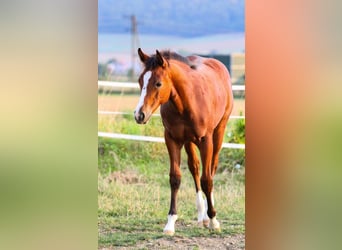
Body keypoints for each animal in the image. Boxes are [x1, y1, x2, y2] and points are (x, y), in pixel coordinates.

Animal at [134, 47, 232, 235]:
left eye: (158, 83)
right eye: (140, 80)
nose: (139, 115)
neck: (188, 100)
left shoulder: (205, 140)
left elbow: (207, 180)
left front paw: (214, 220)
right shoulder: (172, 140)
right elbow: (175, 178)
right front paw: (170, 222)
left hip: (219, 132)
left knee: (211, 168)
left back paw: (209, 215)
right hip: (188, 141)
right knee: (195, 168)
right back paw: (202, 215)